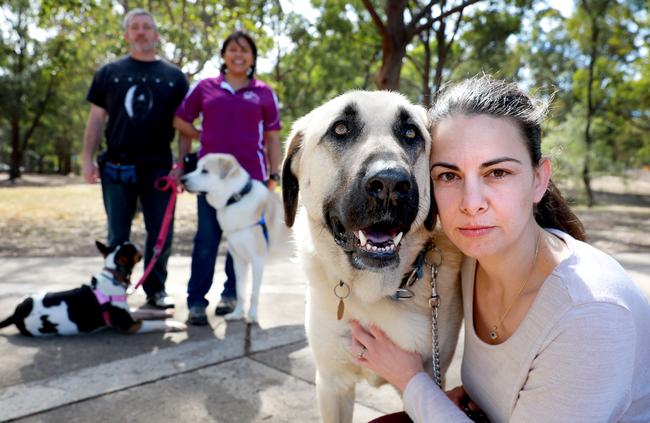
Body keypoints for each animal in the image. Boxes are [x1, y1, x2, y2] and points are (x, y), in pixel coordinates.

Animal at [280, 91, 464, 422]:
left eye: (410, 133)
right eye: (340, 129)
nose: (390, 183)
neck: (372, 294)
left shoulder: (427, 378)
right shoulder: (332, 384)